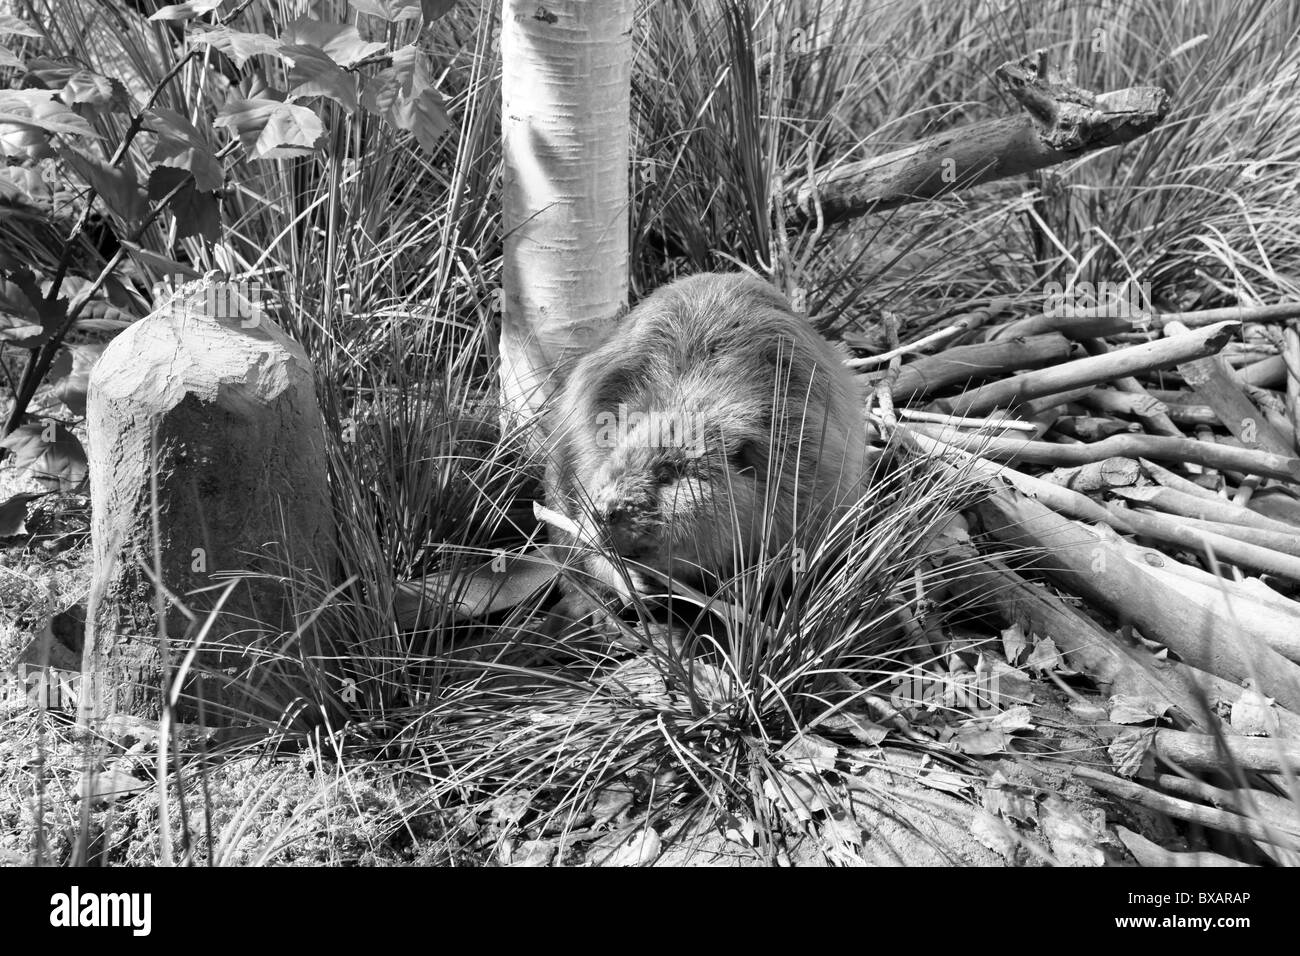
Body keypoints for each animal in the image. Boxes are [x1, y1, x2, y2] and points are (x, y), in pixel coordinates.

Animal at [543, 270, 868, 613]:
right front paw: (633, 584)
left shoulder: (814, 456)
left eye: (667, 474)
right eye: (618, 460)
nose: (606, 511)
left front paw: (745, 585)